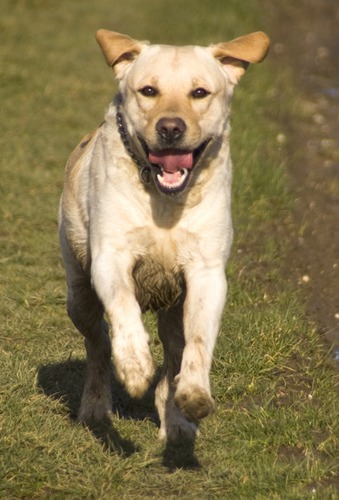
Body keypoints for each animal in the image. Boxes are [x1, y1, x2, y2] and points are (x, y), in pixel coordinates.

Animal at [59, 29, 270, 440]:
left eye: (199, 92)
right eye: (149, 90)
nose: (170, 127)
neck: (165, 201)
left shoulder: (207, 272)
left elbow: (199, 340)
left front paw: (195, 394)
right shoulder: (110, 256)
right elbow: (123, 307)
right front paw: (135, 366)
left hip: (174, 311)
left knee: (174, 358)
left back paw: (176, 420)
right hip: (78, 294)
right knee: (97, 345)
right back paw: (95, 406)